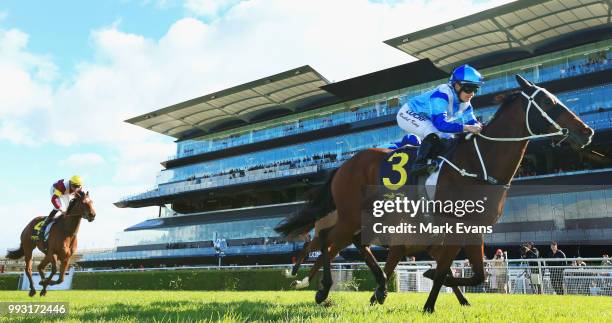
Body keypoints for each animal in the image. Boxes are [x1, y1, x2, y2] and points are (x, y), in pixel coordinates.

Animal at [278, 74, 592, 312]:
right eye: (549, 103)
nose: (586, 131)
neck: (479, 165)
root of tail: (345, 165)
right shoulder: (449, 227)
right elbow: (443, 271)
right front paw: (428, 303)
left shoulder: (471, 229)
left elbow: (475, 274)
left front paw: (436, 295)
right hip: (350, 214)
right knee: (326, 240)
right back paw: (322, 288)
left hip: (365, 217)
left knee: (352, 243)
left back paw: (375, 285)